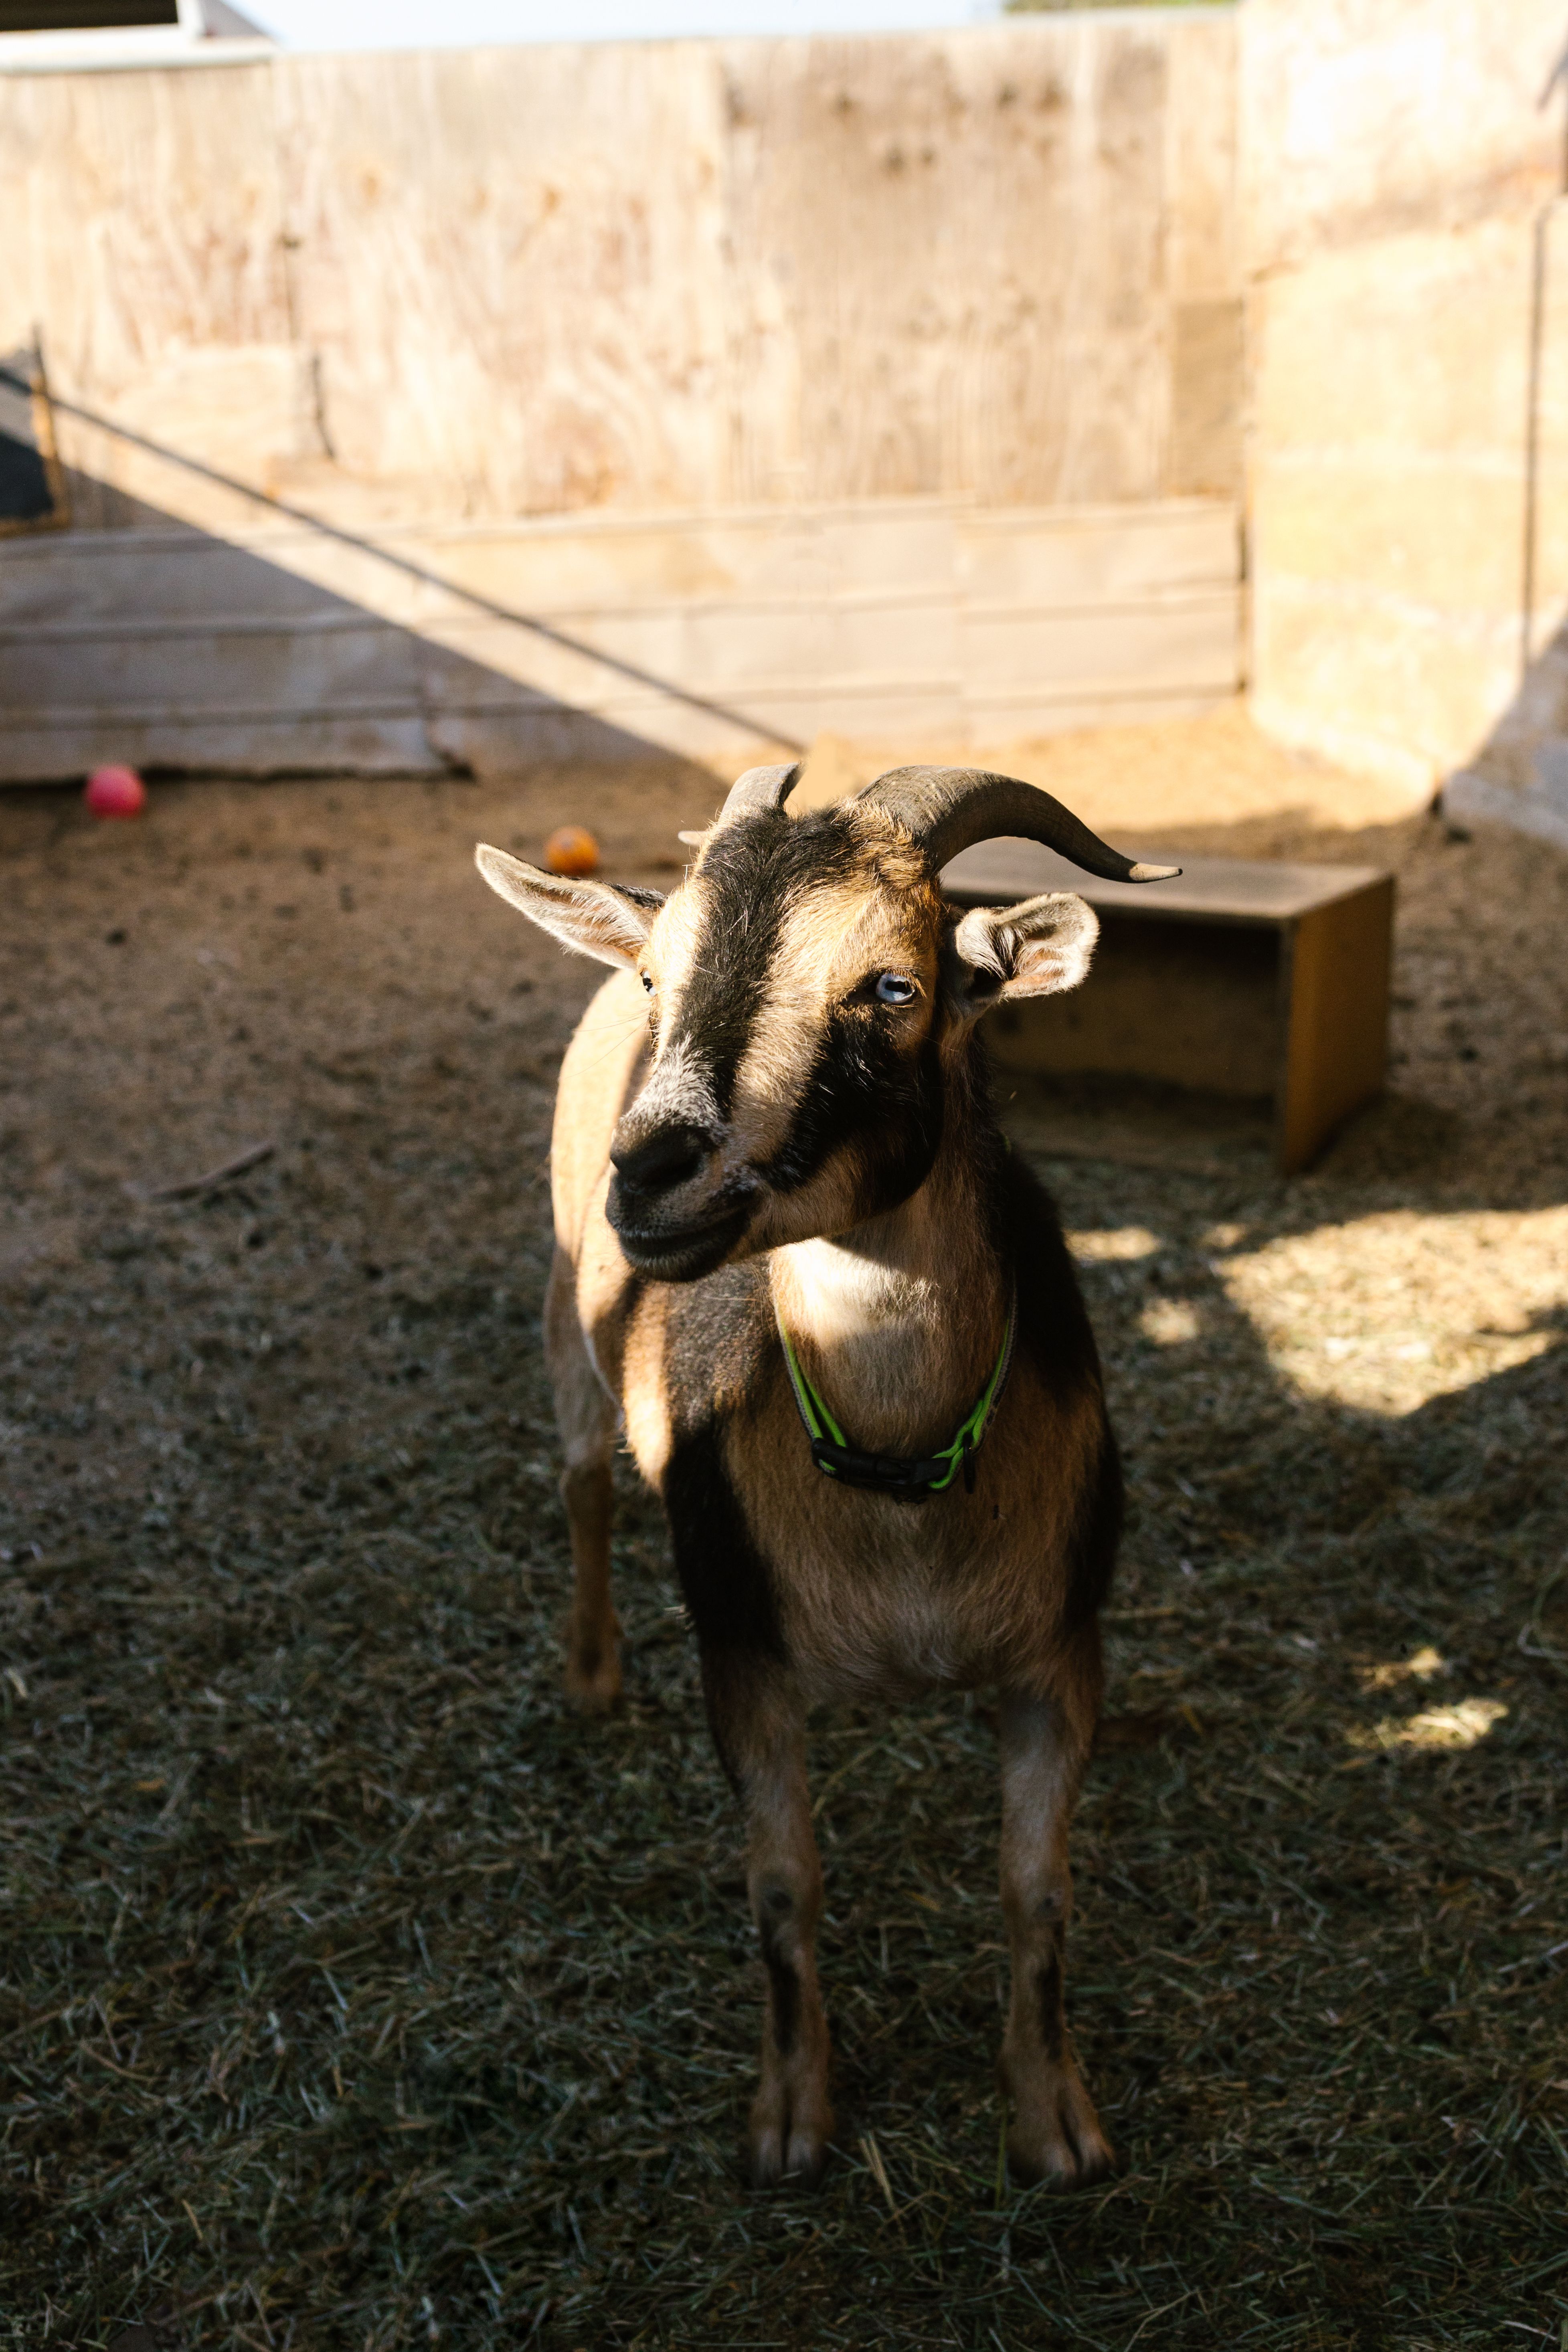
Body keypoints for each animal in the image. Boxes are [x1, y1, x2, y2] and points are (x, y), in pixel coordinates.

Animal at [475, 763, 1177, 2189]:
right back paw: (589, 1676)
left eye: (893, 984)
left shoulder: (1058, 1650)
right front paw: (792, 2117)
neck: (894, 1482)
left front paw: (1054, 2123)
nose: (652, 1170)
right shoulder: (740, 1647)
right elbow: (782, 1883)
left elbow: (1037, 1891)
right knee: (579, 1483)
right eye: (663, 978)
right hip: (563, 1311)